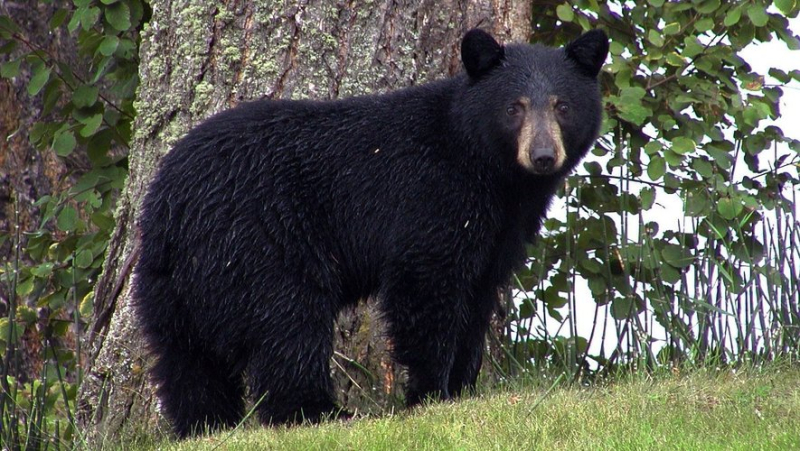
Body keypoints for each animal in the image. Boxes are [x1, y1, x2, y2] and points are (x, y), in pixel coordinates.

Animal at [133, 26, 608, 436]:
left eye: (562, 106)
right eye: (515, 107)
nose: (543, 155)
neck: (491, 171)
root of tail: (171, 204)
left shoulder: (501, 229)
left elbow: (477, 296)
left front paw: (463, 388)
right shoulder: (432, 196)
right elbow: (426, 286)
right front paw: (430, 394)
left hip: (170, 282)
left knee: (186, 359)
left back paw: (205, 424)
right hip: (259, 241)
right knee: (288, 324)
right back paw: (319, 412)